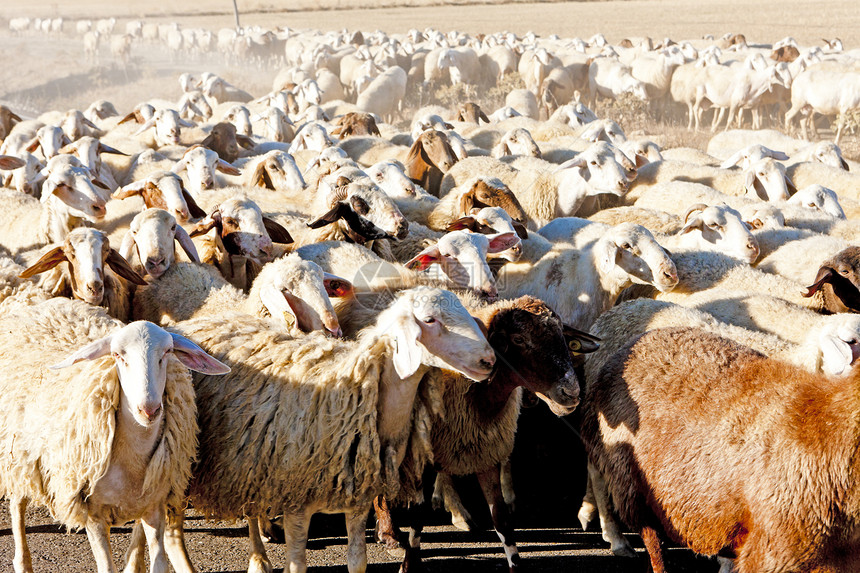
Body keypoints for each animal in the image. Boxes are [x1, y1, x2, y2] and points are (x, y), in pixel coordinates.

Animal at [0, 298, 228, 572]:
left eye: (167, 353)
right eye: (118, 355)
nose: (149, 409)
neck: (131, 460)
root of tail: (46, 303)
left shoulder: (154, 507)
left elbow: (159, 562)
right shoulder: (92, 514)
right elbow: (106, 567)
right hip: (17, 455)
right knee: (17, 505)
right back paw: (22, 561)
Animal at [372, 294, 600, 572]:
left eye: (564, 340)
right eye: (518, 339)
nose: (572, 392)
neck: (478, 393)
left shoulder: (486, 454)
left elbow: (501, 518)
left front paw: (515, 565)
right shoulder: (421, 455)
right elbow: (417, 516)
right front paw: (408, 564)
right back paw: (389, 535)